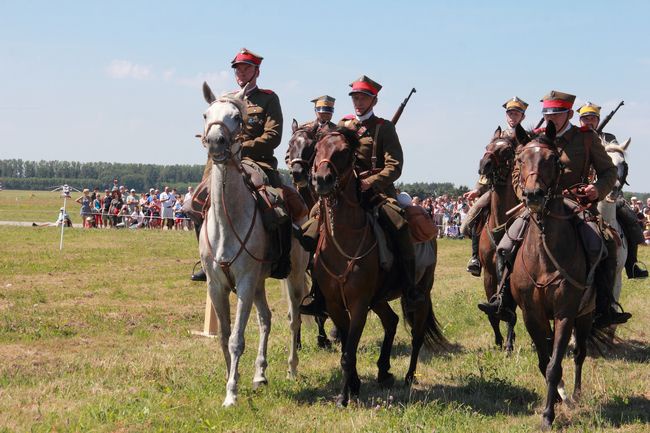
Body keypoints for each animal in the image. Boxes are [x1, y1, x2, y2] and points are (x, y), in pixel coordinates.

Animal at [197, 80, 308, 404]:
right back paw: (260, 374)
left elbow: (236, 339)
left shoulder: (245, 282)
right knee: (266, 319)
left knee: (293, 318)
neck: (227, 221)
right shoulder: (216, 285)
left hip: (293, 277)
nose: (216, 142)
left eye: (237, 116)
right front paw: (230, 378)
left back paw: (291, 369)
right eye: (206, 114)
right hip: (260, 282)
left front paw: (231, 394)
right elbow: (223, 336)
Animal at [310, 127, 446, 404]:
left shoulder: (359, 304)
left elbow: (349, 353)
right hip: (379, 298)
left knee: (416, 336)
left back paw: (408, 376)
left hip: (421, 293)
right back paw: (383, 371)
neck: (344, 241)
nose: (322, 180)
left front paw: (343, 397)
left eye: (344, 151)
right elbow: (346, 348)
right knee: (391, 321)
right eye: (317, 149)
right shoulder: (335, 304)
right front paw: (353, 385)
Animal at [508, 120, 588, 428]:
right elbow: (545, 361)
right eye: (520, 159)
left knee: (579, 354)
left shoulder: (566, 312)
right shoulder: (532, 314)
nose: (533, 195)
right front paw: (552, 402)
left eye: (554, 159)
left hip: (586, 314)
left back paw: (575, 394)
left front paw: (548, 414)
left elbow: (555, 364)